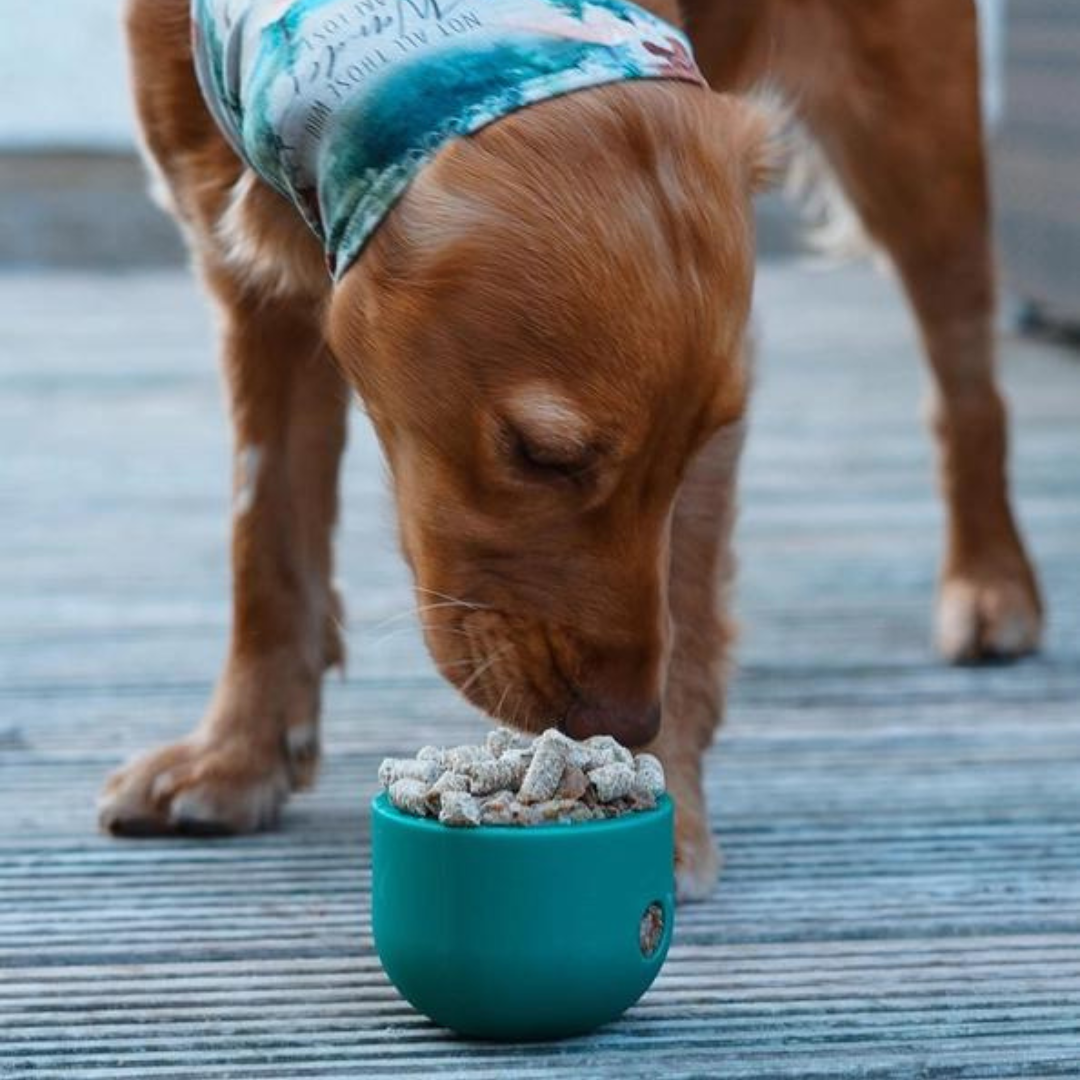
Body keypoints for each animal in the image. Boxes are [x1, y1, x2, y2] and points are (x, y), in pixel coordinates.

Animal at [99, 0, 1036, 898]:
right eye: (542, 454)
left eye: (693, 445)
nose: (625, 725)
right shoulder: (253, 287)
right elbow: (266, 544)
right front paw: (237, 755)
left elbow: (685, 592)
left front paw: (668, 808)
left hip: (915, 138)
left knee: (970, 386)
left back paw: (992, 583)